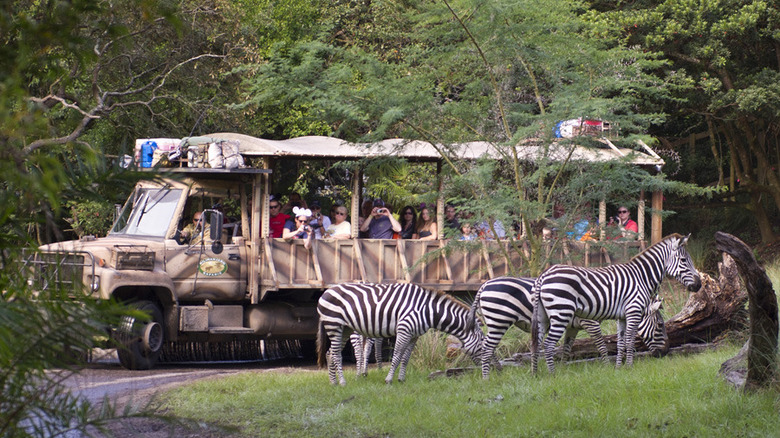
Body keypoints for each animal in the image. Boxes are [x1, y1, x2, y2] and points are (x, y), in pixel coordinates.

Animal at [316, 282, 482, 384]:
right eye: (481, 347)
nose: (483, 371)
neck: (427, 310)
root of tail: (327, 291)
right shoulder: (404, 329)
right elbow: (396, 355)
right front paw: (389, 379)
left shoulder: (414, 335)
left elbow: (405, 358)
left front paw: (401, 380)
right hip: (334, 325)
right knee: (336, 354)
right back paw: (343, 382)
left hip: (345, 329)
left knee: (330, 353)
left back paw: (333, 383)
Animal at [464, 278, 608, 380]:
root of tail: (484, 285)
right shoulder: (590, 322)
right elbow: (601, 345)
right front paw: (608, 367)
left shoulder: (573, 327)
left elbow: (567, 349)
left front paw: (563, 369)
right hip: (499, 320)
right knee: (487, 347)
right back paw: (486, 378)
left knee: (484, 344)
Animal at [532, 234, 700, 374]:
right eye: (684, 261)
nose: (698, 285)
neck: (642, 277)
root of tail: (543, 275)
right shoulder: (633, 311)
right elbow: (630, 341)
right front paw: (629, 367)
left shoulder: (622, 317)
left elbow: (621, 342)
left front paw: (618, 368)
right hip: (561, 312)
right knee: (548, 344)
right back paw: (552, 375)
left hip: (543, 316)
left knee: (536, 343)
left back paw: (536, 374)